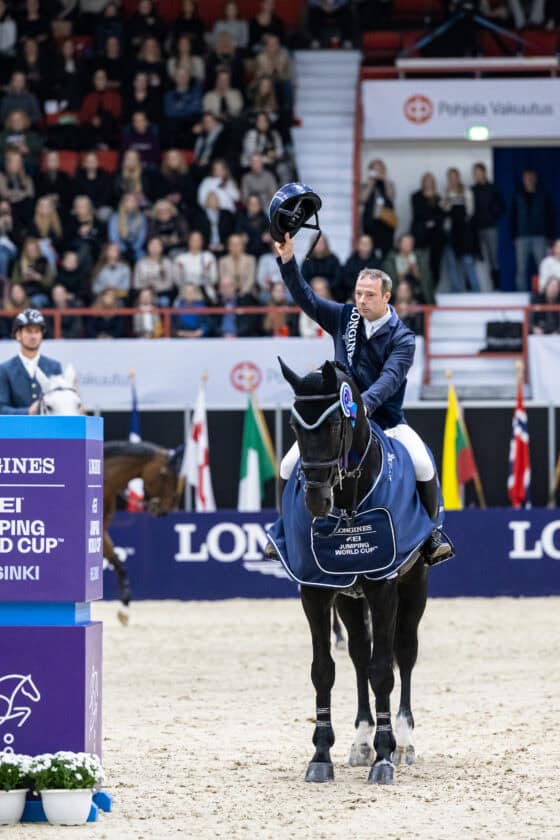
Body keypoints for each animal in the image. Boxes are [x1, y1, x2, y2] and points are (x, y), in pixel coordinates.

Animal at [270, 360, 440, 788]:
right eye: (295, 426)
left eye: (334, 425)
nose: (316, 499)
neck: (347, 502)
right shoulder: (315, 590)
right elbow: (323, 670)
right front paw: (320, 756)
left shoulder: (383, 588)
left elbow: (384, 671)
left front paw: (385, 757)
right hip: (348, 597)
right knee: (360, 654)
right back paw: (361, 741)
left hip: (414, 587)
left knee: (404, 653)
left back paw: (404, 742)